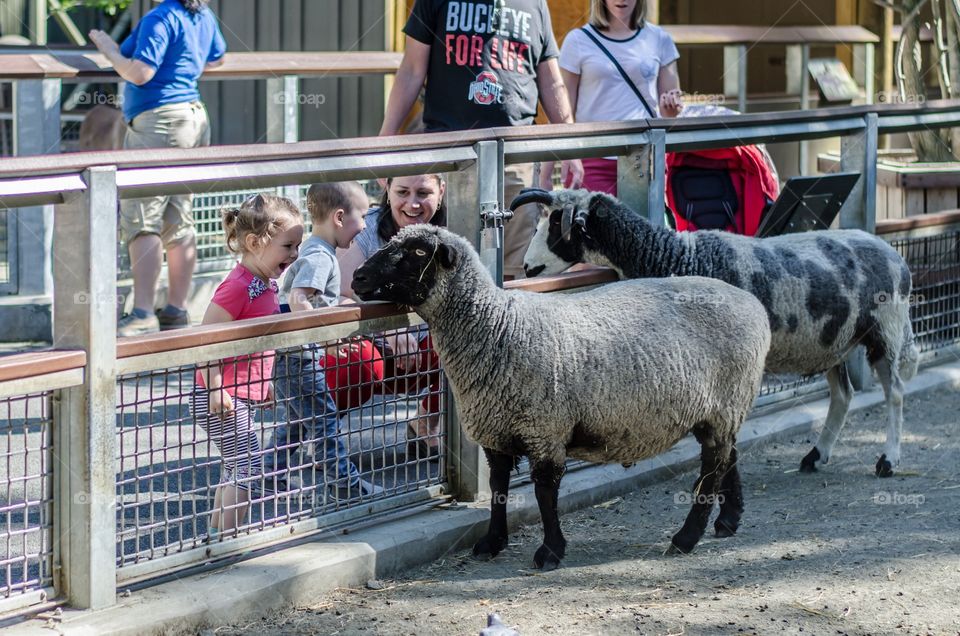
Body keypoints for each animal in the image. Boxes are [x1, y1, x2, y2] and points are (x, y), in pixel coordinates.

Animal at [352, 225, 772, 572]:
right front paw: (492, 542)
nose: (358, 277)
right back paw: (728, 521)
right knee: (728, 456)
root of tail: (751, 304)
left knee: (713, 467)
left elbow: (544, 491)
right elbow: (500, 489)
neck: (496, 327)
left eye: (418, 251)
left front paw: (550, 551)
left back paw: (686, 538)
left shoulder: (545, 428)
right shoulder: (497, 431)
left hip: (726, 401)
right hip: (719, 408)